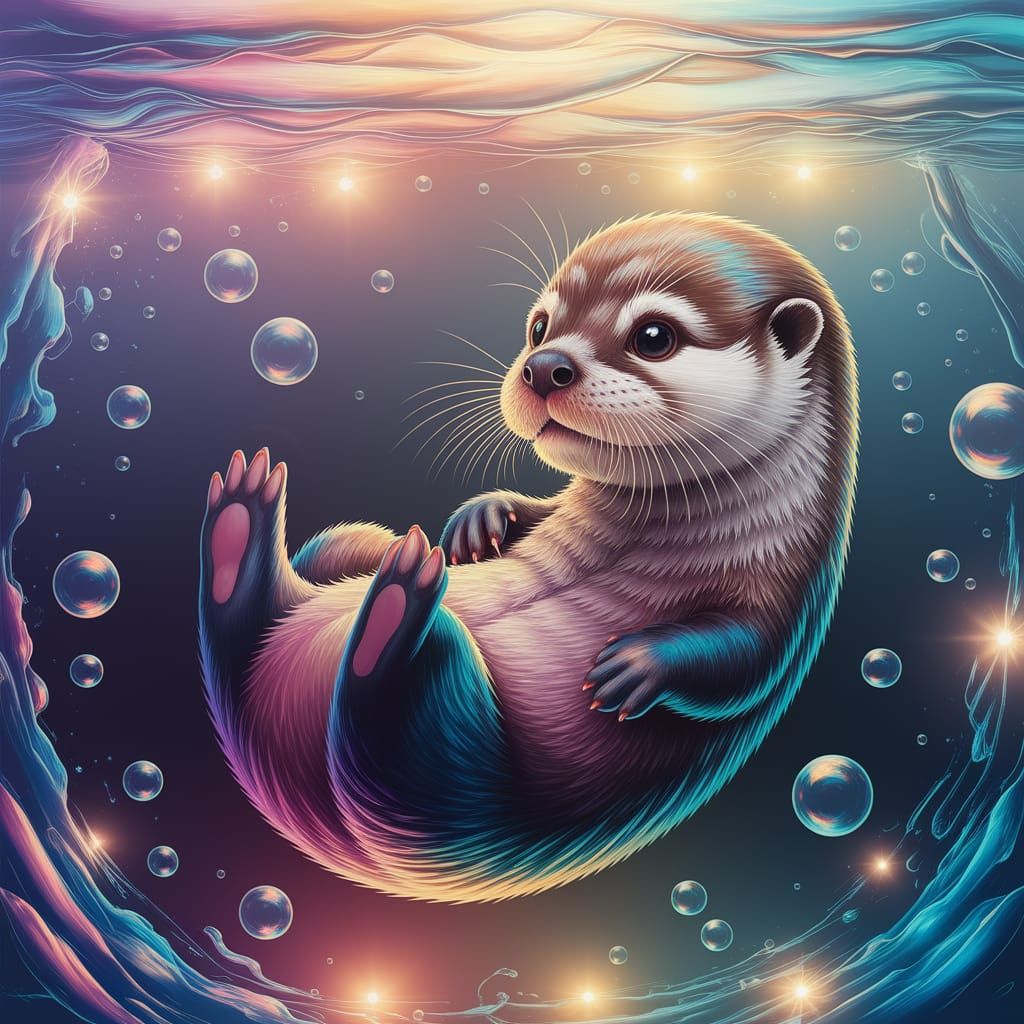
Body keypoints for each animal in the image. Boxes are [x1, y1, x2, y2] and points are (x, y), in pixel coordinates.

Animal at [199, 213, 857, 903]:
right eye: (539, 326)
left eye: (654, 336)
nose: (544, 365)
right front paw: (480, 521)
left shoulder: (788, 587)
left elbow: (746, 659)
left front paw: (637, 665)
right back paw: (253, 527)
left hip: (445, 784)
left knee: (377, 711)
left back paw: (392, 608)